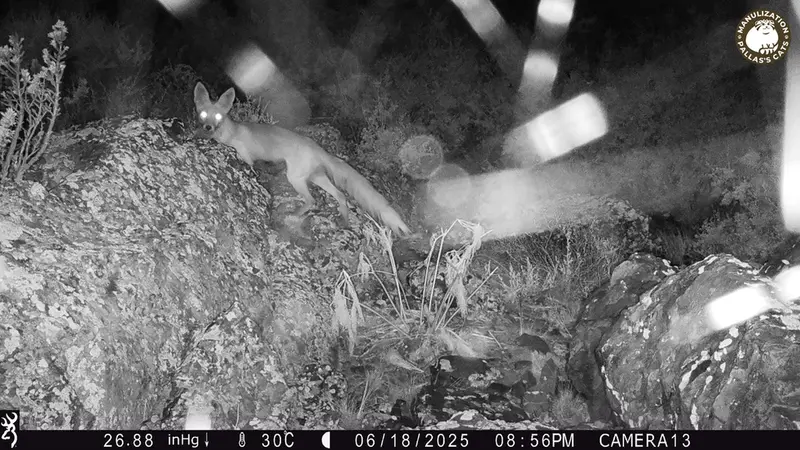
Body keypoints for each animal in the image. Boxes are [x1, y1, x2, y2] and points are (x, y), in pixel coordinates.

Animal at [193, 82, 411, 236]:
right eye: (203, 114)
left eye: (218, 117)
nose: (208, 127)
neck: (231, 133)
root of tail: (318, 147)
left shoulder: (245, 155)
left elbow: (250, 166)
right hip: (316, 177)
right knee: (340, 195)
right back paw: (344, 222)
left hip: (295, 178)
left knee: (312, 200)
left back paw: (294, 215)